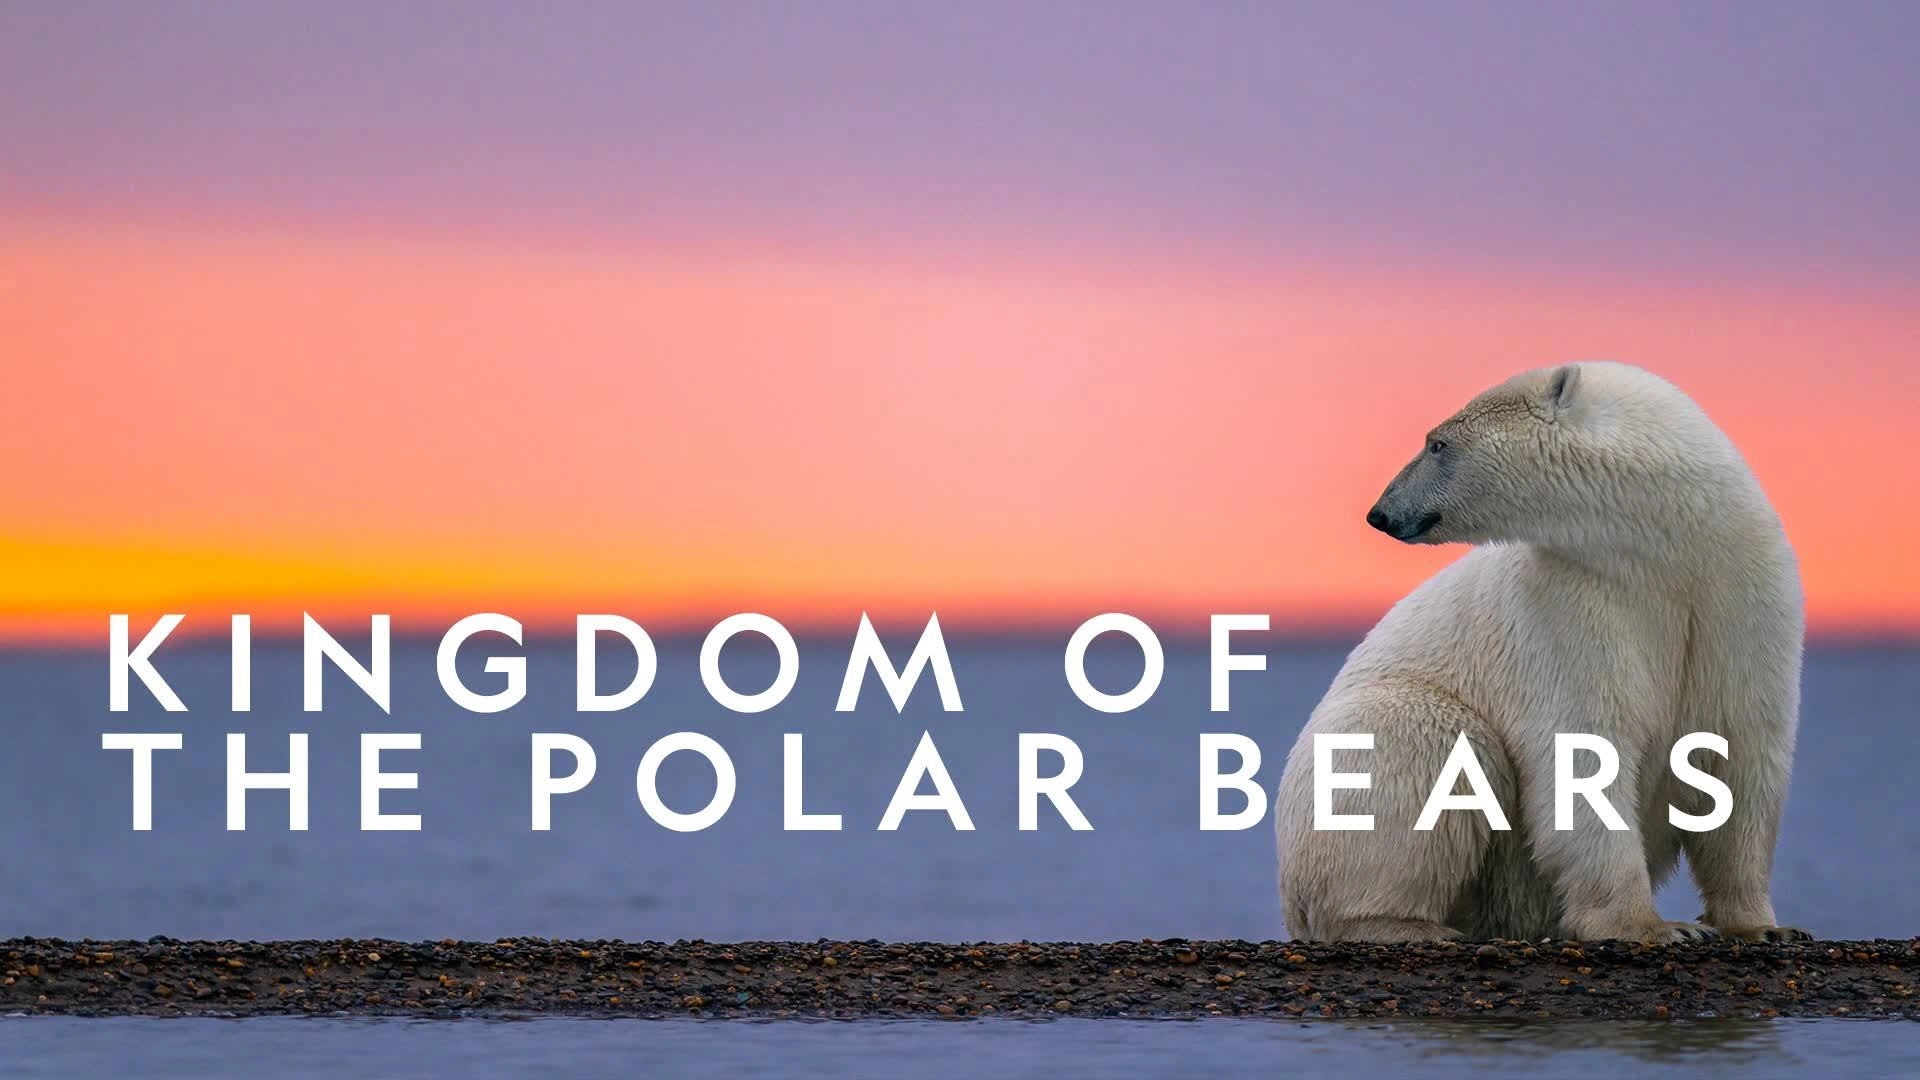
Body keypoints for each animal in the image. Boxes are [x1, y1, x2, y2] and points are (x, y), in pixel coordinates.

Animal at [1273, 361, 1807, 943]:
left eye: (1437, 444)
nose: (1380, 512)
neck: (1667, 552)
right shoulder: (1569, 607)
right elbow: (1586, 750)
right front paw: (1653, 927)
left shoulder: (1740, 599)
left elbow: (1739, 752)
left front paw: (1762, 926)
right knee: (1430, 740)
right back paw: (1405, 924)